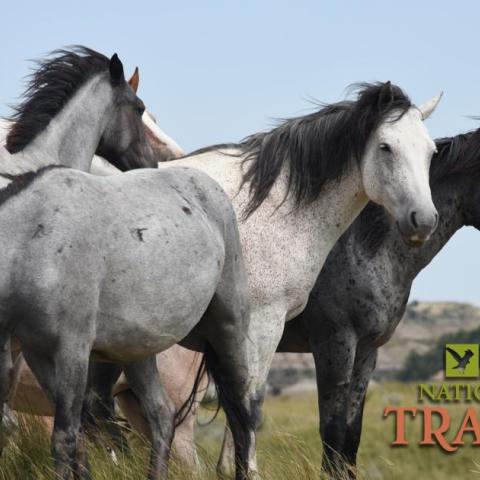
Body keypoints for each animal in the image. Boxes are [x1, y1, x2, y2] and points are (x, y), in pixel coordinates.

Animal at [0, 166, 255, 480]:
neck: (32, 245)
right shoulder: (37, 354)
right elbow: (78, 437)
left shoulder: (71, 351)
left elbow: (64, 437)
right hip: (138, 353)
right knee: (162, 416)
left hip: (228, 332)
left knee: (241, 415)